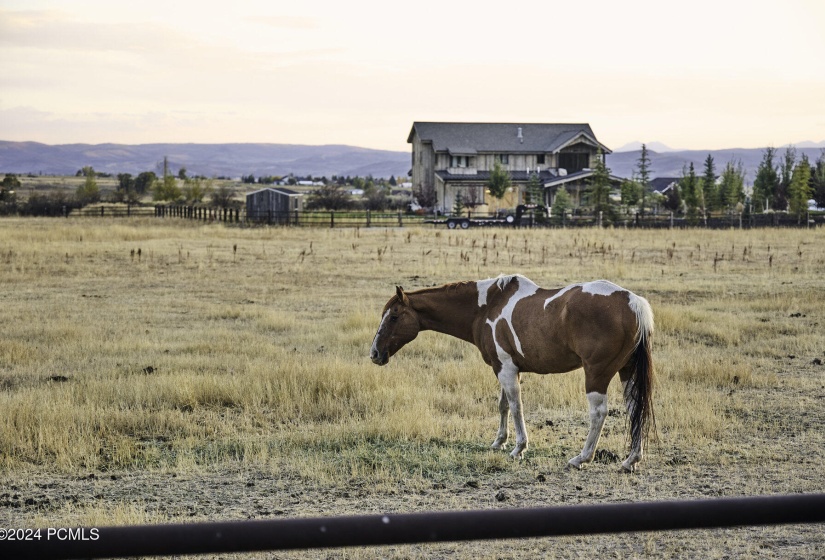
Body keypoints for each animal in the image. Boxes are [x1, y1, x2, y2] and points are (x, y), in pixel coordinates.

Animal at [370, 276, 652, 472]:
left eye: (394, 316)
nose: (374, 353)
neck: (486, 307)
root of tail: (632, 302)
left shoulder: (505, 368)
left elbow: (516, 407)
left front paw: (519, 448)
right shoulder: (505, 367)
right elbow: (503, 405)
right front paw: (499, 441)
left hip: (597, 374)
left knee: (599, 413)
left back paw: (581, 458)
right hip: (626, 371)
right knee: (634, 408)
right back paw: (631, 460)